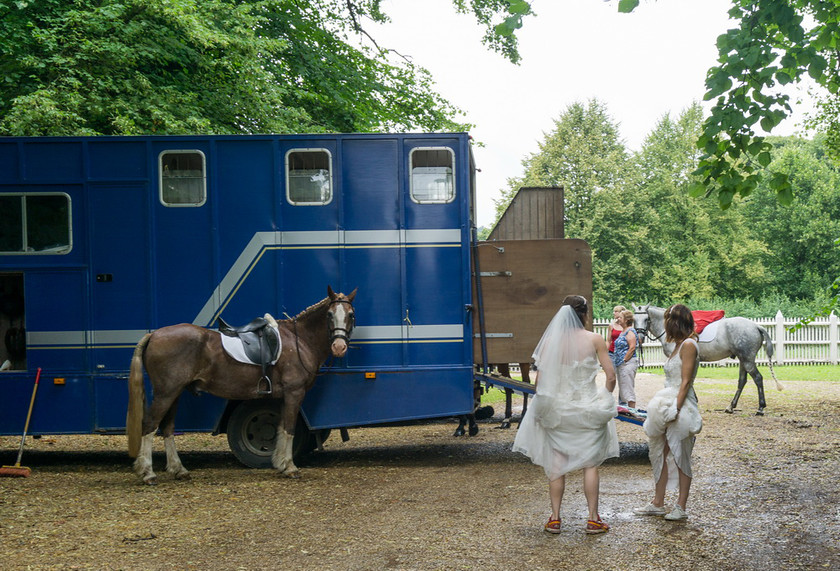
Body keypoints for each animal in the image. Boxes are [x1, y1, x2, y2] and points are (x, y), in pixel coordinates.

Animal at [126, 286, 356, 482]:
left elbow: (281, 427)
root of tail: (154, 335)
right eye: (329, 315)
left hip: (175, 393)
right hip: (166, 392)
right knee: (150, 425)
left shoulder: (284, 397)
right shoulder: (294, 393)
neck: (298, 341)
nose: (339, 346)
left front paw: (279, 463)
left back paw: (178, 470)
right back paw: (147, 472)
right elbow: (289, 428)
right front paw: (290, 467)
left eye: (351, 315)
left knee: (167, 427)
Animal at [632, 304, 784, 416]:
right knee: (742, 381)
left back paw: (760, 408)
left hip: (747, 360)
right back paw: (731, 407)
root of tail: (755, 326)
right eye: (634, 320)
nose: (639, 337)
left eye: (646, 319)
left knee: (758, 378)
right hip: (743, 360)